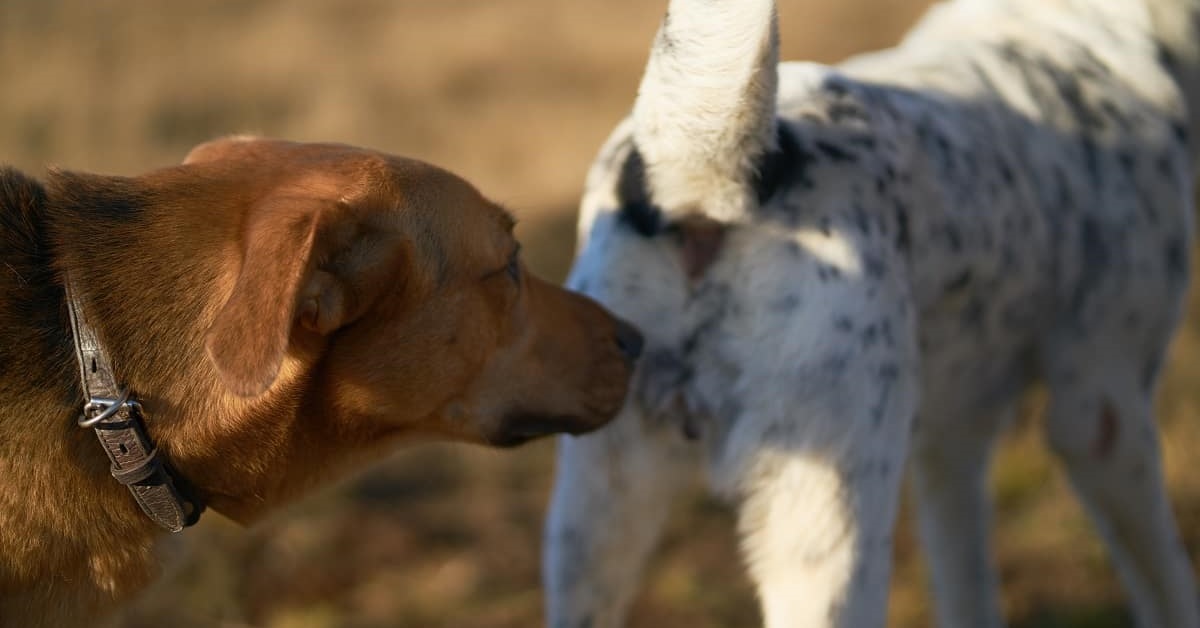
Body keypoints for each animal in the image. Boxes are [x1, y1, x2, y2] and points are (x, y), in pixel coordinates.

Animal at [547, 1, 1200, 628]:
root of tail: (710, 185)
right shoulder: (1103, 415)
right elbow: (1167, 588)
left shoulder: (954, 437)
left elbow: (966, 588)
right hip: (829, 523)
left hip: (592, 524)